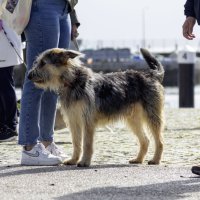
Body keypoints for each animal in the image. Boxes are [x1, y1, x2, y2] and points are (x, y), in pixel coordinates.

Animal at [27, 47, 164, 166]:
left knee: (159, 141)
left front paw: (84, 162)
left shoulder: (87, 121)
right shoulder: (74, 120)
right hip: (133, 120)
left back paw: (155, 160)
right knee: (145, 140)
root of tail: (150, 75)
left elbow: (87, 143)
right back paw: (138, 159)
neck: (73, 82)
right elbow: (76, 143)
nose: (28, 76)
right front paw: (73, 160)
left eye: (43, 63)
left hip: (152, 116)